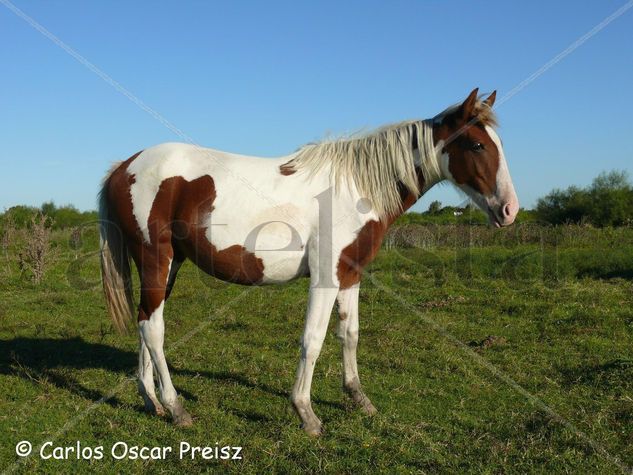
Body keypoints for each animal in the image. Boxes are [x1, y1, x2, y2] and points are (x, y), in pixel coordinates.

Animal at [97, 88, 512, 436]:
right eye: (477, 144)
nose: (509, 210)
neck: (356, 187)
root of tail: (124, 166)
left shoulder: (350, 274)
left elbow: (350, 334)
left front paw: (358, 398)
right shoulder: (325, 277)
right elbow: (312, 340)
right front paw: (306, 413)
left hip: (168, 265)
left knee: (145, 322)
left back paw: (151, 401)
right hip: (156, 258)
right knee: (153, 328)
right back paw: (175, 407)